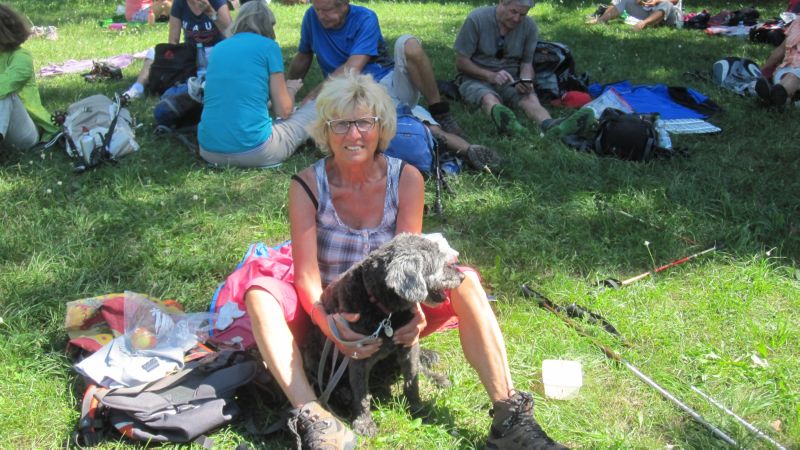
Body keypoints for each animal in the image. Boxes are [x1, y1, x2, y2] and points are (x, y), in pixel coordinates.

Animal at [312, 233, 464, 437]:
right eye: (440, 263)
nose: (463, 276)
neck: (385, 311)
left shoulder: (409, 343)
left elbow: (412, 378)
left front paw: (416, 406)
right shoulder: (358, 356)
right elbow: (361, 393)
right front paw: (364, 422)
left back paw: (437, 378)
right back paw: (343, 394)